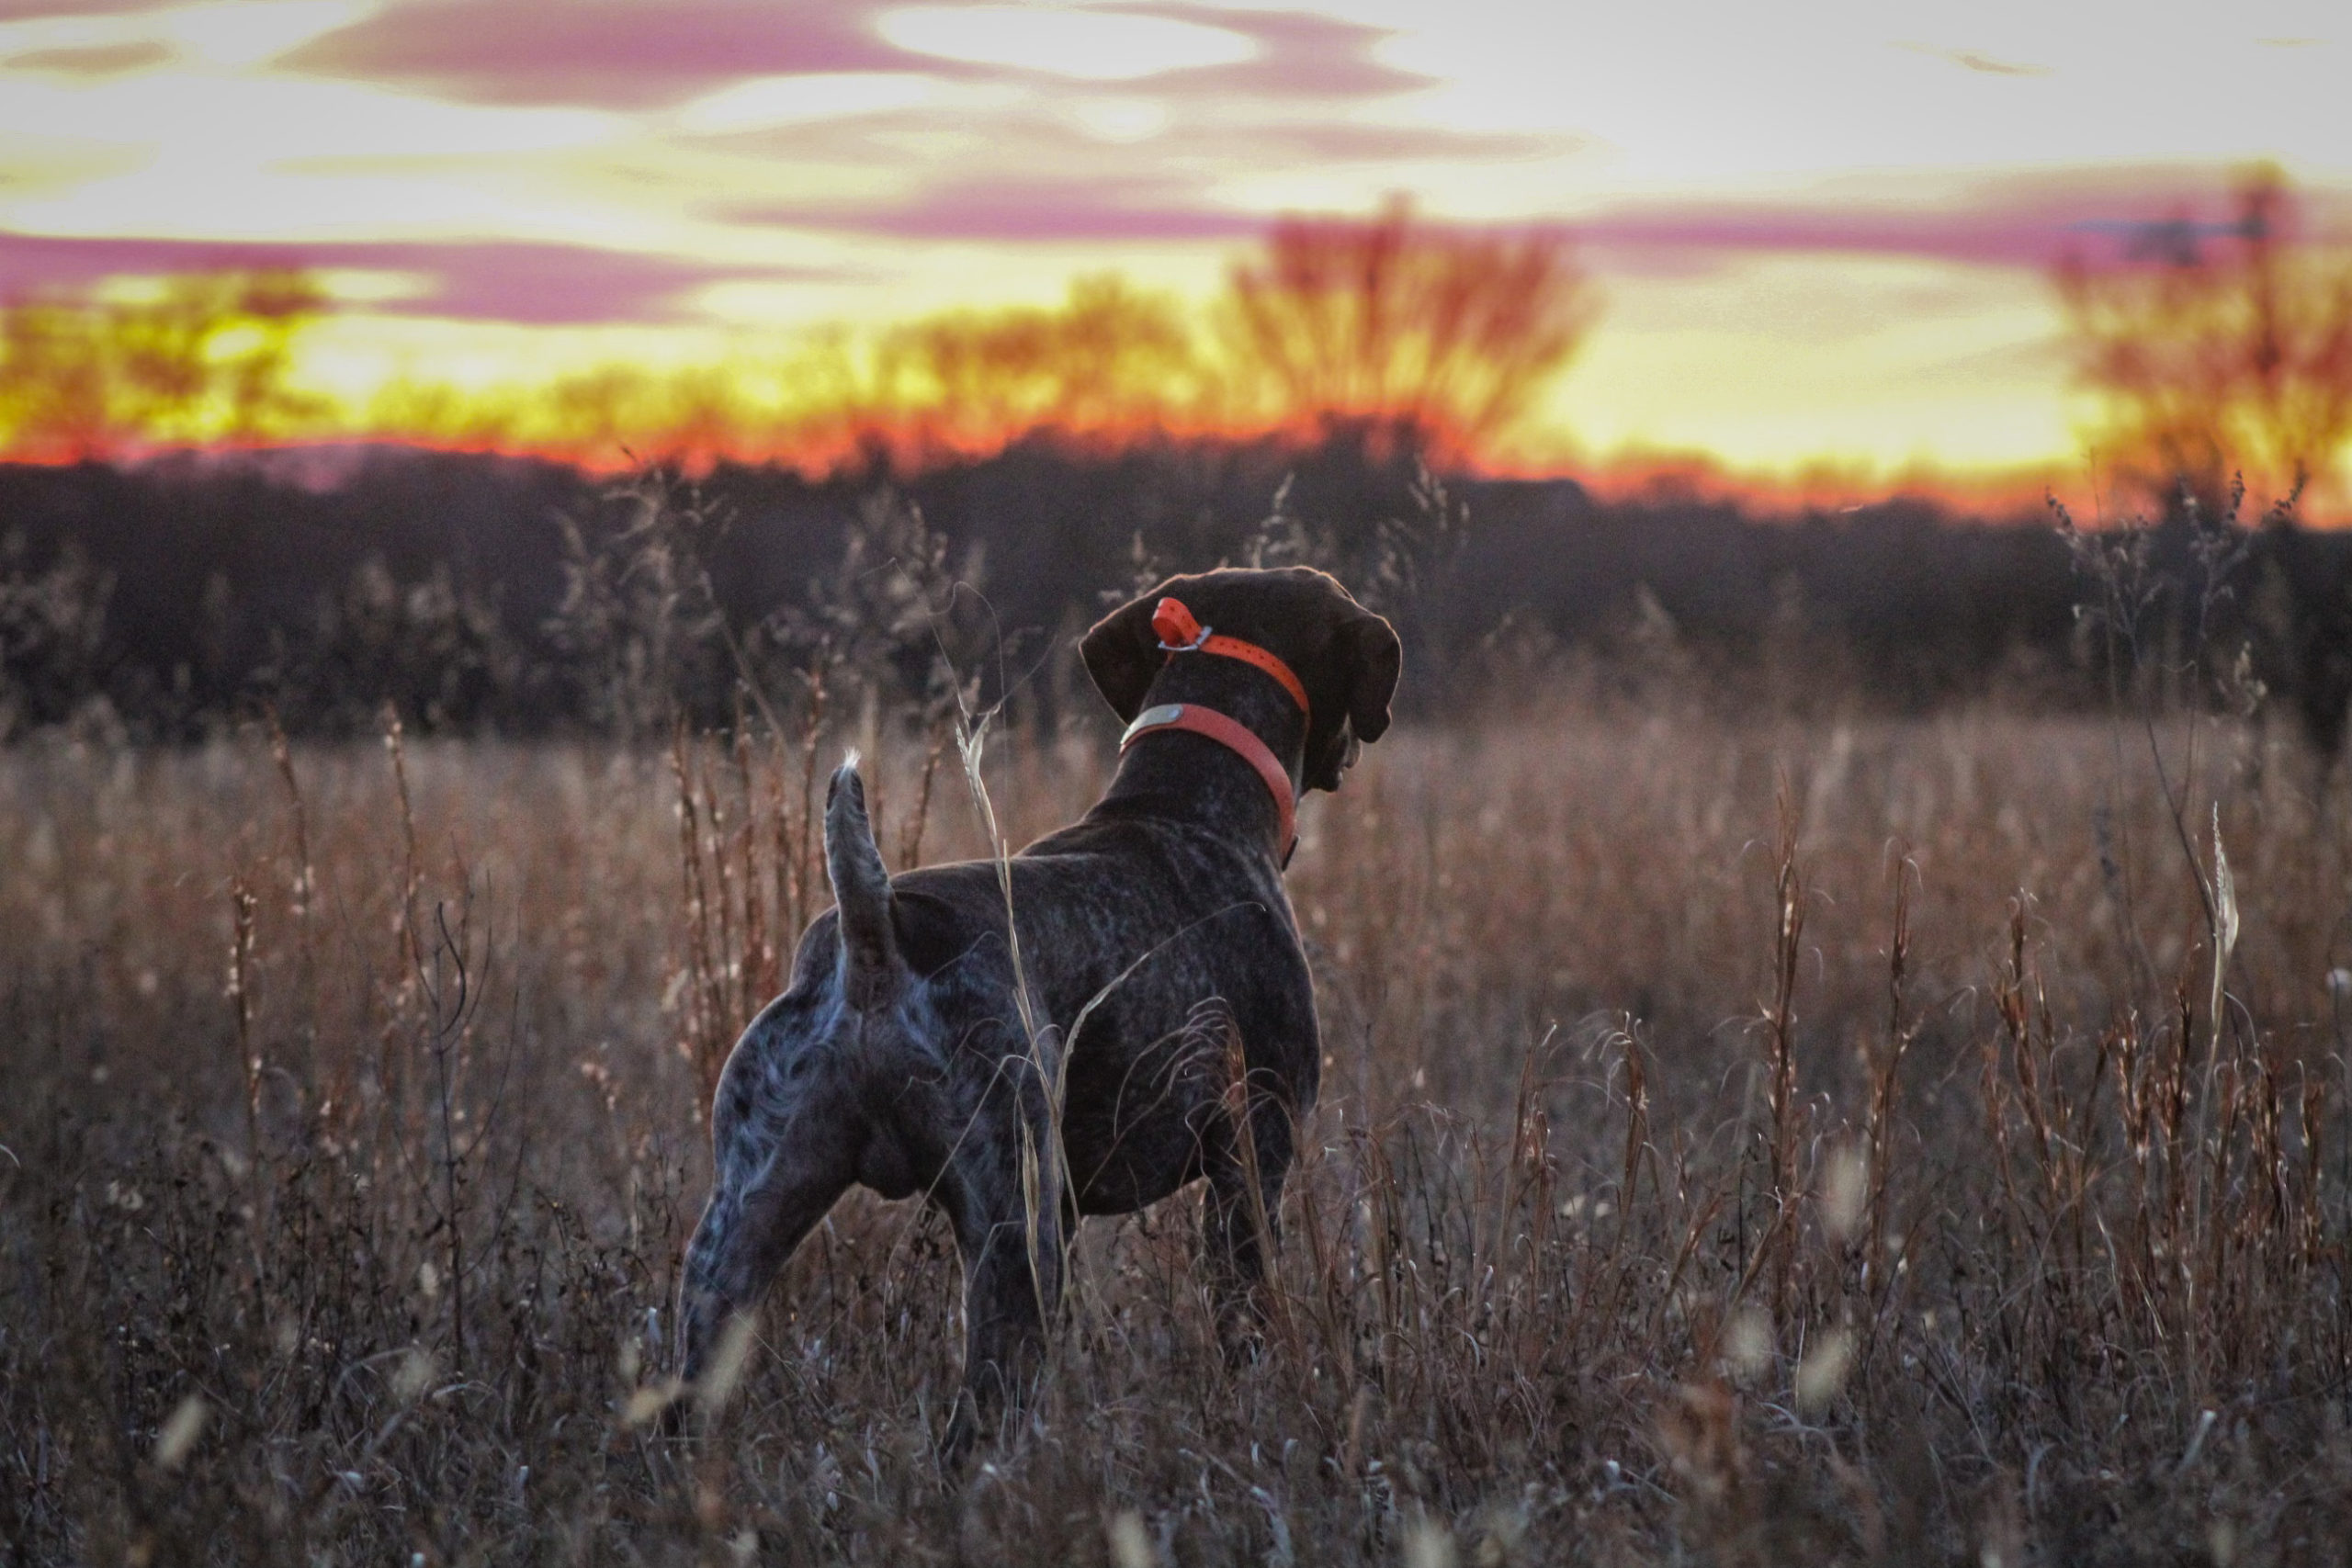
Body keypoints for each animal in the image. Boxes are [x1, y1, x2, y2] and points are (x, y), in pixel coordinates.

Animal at [677, 566, 1392, 1457]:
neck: (1186, 805)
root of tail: (875, 929)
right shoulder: (1251, 1156)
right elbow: (1247, 1320)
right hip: (1014, 1228)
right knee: (974, 1423)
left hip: (737, 1230)